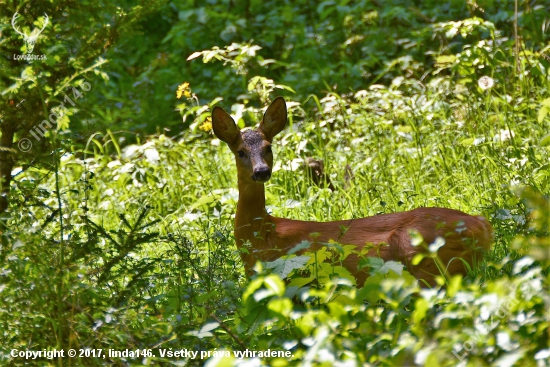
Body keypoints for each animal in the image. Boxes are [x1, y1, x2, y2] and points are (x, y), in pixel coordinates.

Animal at [212, 98, 496, 288]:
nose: (261, 171)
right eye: (240, 151)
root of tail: (482, 225)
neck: (263, 235)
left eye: (268, 147)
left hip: (424, 255)